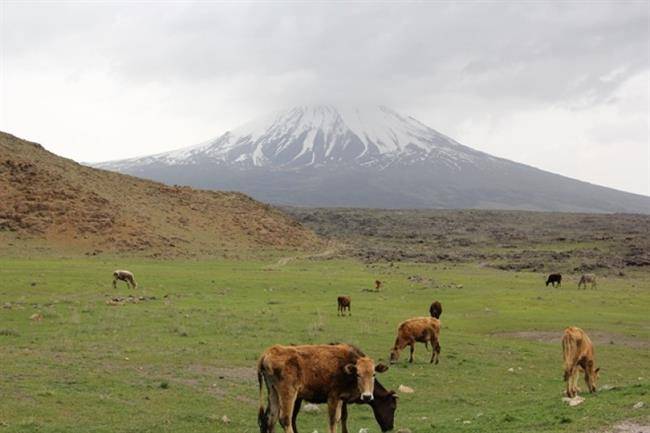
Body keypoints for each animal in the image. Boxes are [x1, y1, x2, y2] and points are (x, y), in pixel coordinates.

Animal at [256, 342, 390, 430]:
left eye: (373, 374)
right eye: (358, 374)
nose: (367, 396)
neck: (346, 366)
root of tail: (269, 352)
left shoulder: (340, 400)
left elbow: (338, 419)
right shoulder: (333, 398)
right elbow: (332, 421)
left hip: (273, 392)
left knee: (271, 419)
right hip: (288, 394)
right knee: (285, 419)